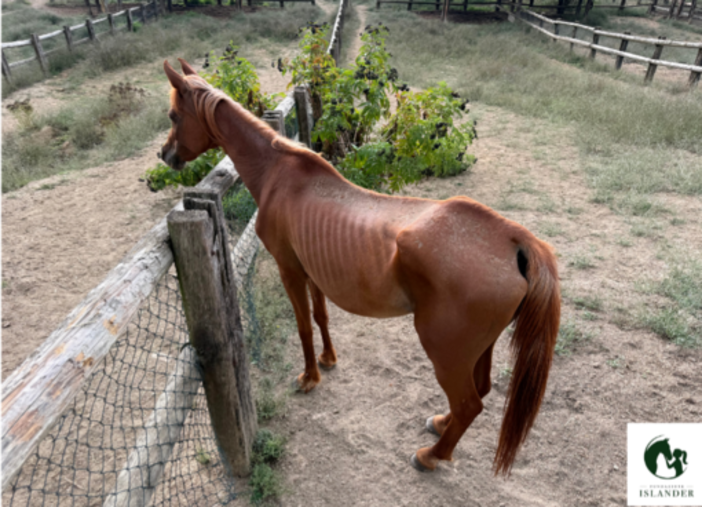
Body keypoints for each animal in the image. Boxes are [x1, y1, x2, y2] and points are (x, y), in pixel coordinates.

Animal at [160, 59, 561, 475]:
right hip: (477, 349)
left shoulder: (290, 270)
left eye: (174, 115)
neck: (277, 173)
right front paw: (328, 360)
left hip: (445, 351)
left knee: (469, 403)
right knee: (476, 392)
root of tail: (513, 238)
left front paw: (309, 377)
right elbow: (321, 317)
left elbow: (304, 326)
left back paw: (430, 455)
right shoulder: (311, 271)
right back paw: (440, 425)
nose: (165, 154)